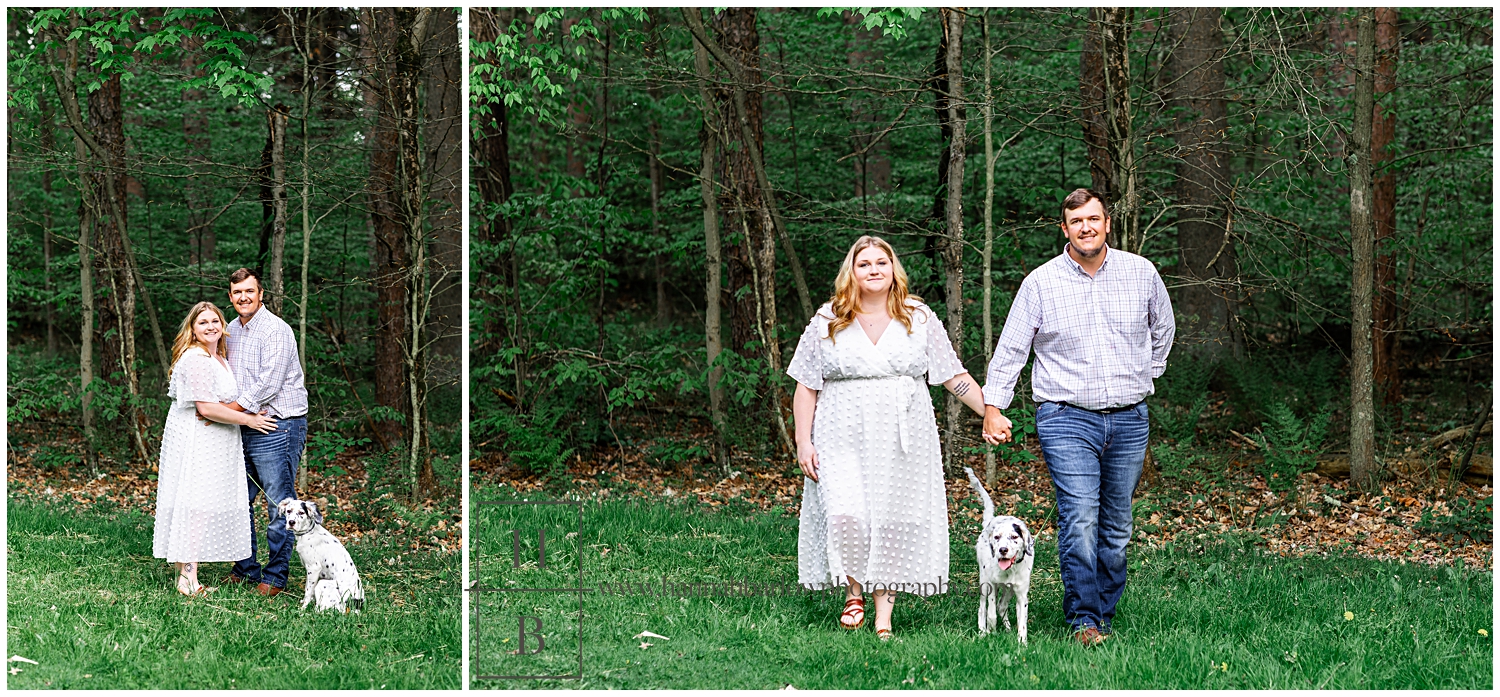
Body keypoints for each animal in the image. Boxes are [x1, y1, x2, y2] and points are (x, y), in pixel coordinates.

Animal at [972, 464, 1032, 644]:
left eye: (1014, 537)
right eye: (997, 537)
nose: (1002, 550)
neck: (1009, 570)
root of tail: (989, 522)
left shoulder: (1021, 594)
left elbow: (1022, 622)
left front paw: (1022, 643)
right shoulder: (992, 585)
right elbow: (990, 614)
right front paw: (990, 634)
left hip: (1009, 590)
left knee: (1002, 606)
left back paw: (1007, 628)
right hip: (984, 581)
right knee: (983, 609)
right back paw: (983, 632)